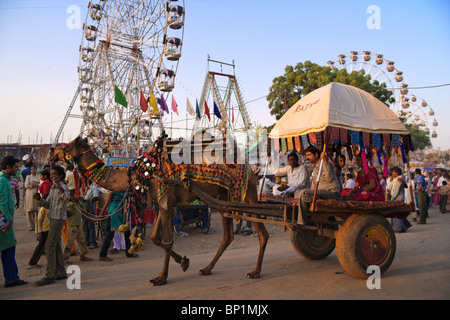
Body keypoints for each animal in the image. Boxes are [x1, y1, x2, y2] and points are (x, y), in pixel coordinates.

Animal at [50, 136, 268, 286]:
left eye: (66, 146)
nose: (52, 152)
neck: (143, 171)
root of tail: (249, 166)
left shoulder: (165, 200)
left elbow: (167, 240)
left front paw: (161, 277)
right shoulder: (163, 203)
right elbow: (156, 238)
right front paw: (184, 262)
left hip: (243, 191)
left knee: (257, 230)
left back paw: (255, 272)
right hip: (226, 197)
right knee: (232, 234)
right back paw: (208, 269)